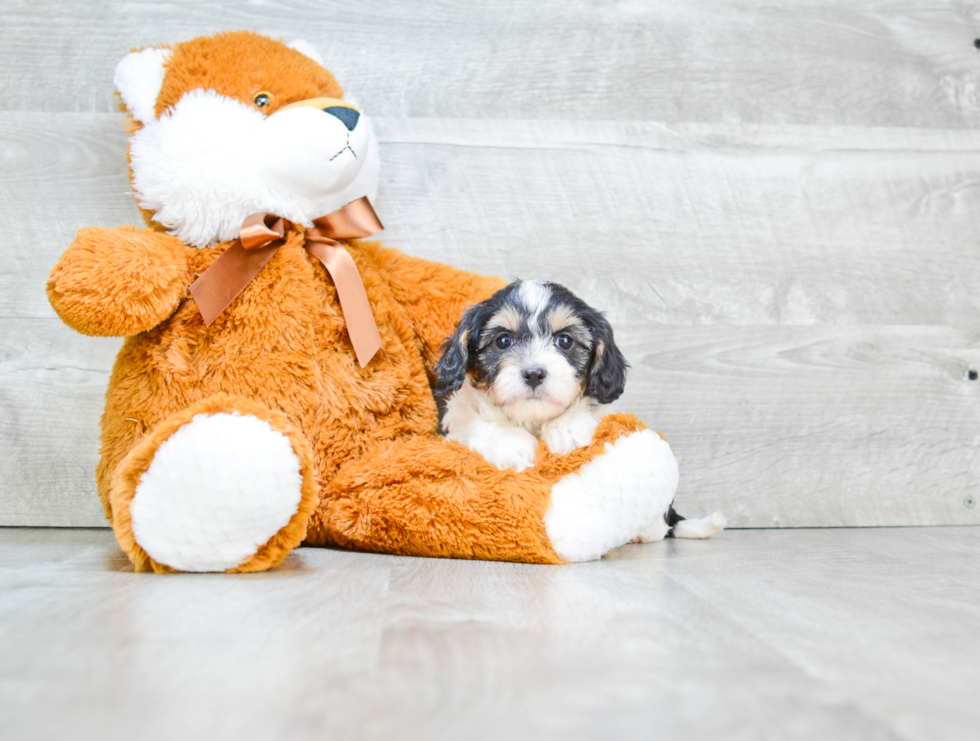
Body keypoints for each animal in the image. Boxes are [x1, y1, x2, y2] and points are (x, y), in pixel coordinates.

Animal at [434, 280, 628, 472]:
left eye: (565, 341)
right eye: (503, 341)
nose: (534, 374)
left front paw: (567, 427)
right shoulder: (457, 425)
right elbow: (473, 421)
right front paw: (509, 441)